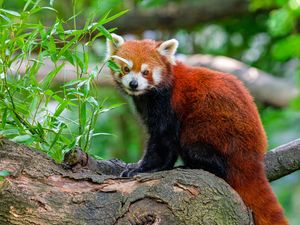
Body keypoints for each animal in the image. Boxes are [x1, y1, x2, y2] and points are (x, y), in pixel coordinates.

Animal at [106, 33, 288, 225]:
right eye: (126, 69)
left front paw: (144, 168)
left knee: (196, 146)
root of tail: (253, 155)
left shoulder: (168, 104)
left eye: (145, 72)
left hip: (213, 129)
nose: (133, 84)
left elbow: (163, 140)